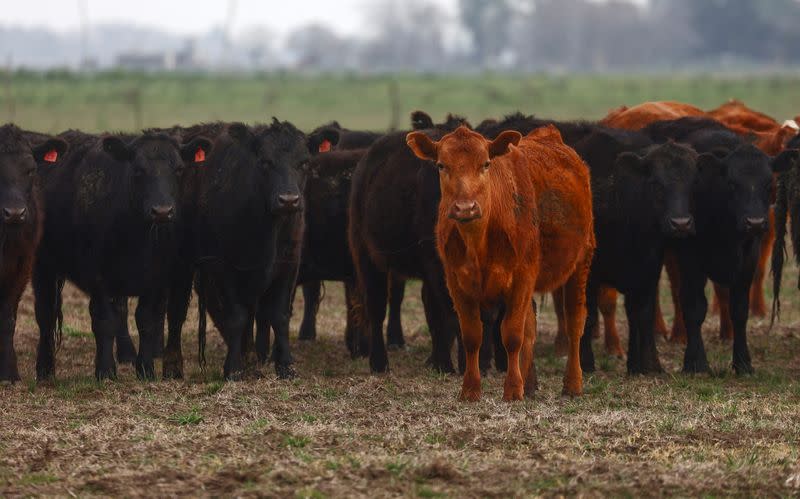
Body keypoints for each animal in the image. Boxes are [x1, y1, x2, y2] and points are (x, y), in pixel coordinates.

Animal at [33, 131, 211, 380]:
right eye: (138, 170)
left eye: (178, 169)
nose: (162, 211)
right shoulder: (97, 277)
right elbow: (105, 321)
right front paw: (106, 370)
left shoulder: (156, 278)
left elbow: (146, 320)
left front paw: (145, 369)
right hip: (43, 267)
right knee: (45, 315)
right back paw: (45, 369)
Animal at [406, 126, 592, 402]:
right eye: (441, 165)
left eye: (486, 163)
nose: (465, 208)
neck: (478, 243)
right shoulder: (456, 283)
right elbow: (472, 335)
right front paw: (470, 389)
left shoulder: (522, 277)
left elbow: (512, 335)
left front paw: (513, 390)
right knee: (531, 326)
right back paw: (530, 383)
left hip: (581, 262)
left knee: (574, 322)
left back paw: (572, 384)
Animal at [644, 118, 800, 376]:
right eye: (732, 184)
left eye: (769, 183)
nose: (755, 222)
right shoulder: (691, 258)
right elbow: (695, 307)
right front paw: (695, 362)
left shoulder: (748, 259)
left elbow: (739, 310)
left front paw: (743, 362)